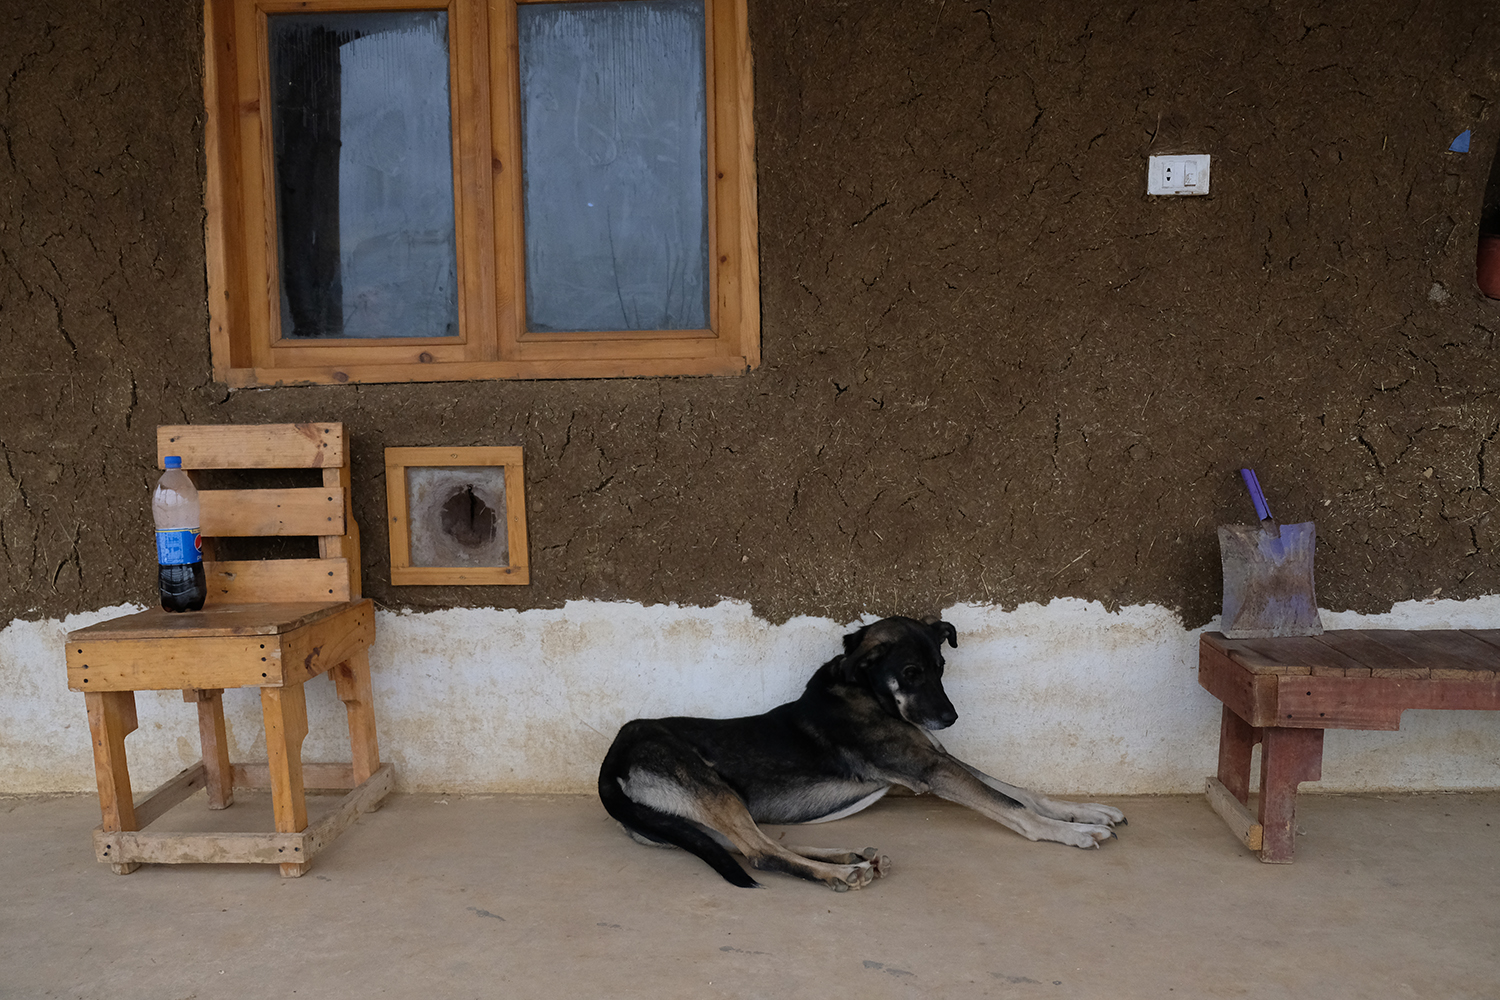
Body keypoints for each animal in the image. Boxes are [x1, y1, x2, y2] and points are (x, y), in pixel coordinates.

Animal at [597, 617, 1128, 893]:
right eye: (911, 672)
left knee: (747, 843)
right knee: (760, 852)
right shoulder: (932, 768)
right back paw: (841, 871)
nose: (950, 718)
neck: (865, 690)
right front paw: (1070, 833)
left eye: (941, 667)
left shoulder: (940, 758)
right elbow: (1013, 806)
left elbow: (1021, 790)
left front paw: (1086, 810)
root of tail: (609, 764)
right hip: (709, 788)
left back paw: (849, 854)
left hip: (696, 815)